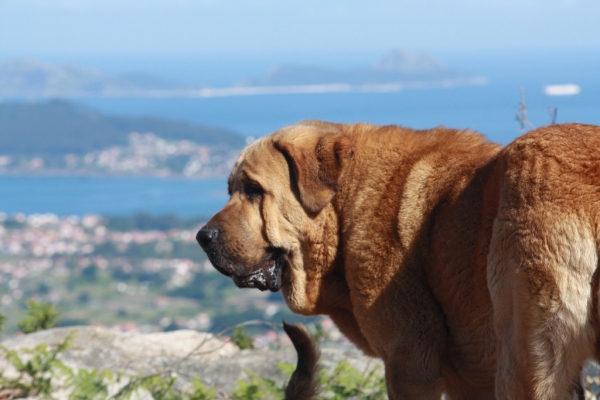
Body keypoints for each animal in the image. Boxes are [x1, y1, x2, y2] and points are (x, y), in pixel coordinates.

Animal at [198, 122, 600, 400]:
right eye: (230, 189)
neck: (344, 207)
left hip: (528, 361)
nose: (202, 238)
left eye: (254, 190)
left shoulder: (409, 362)